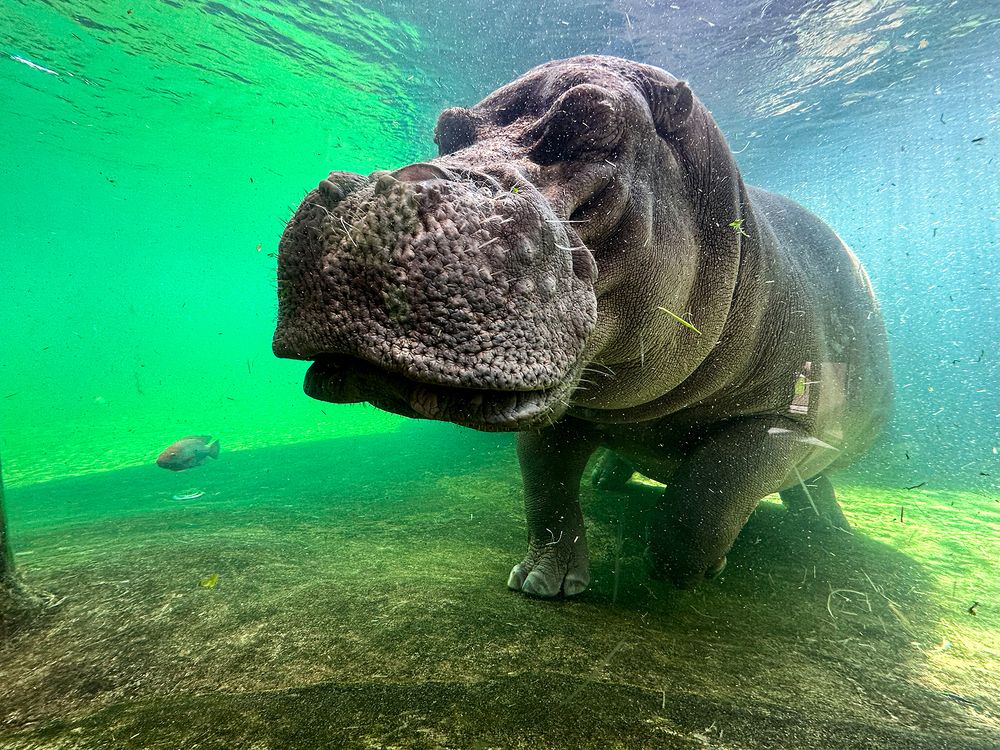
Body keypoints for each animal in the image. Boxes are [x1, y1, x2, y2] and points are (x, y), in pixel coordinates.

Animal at [272, 55, 892, 597]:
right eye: (446, 130)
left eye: (595, 120)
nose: (382, 192)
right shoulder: (557, 408)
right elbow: (545, 489)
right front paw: (541, 583)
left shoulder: (784, 423)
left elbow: (713, 487)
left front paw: (683, 574)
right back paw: (608, 480)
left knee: (806, 482)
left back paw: (828, 528)